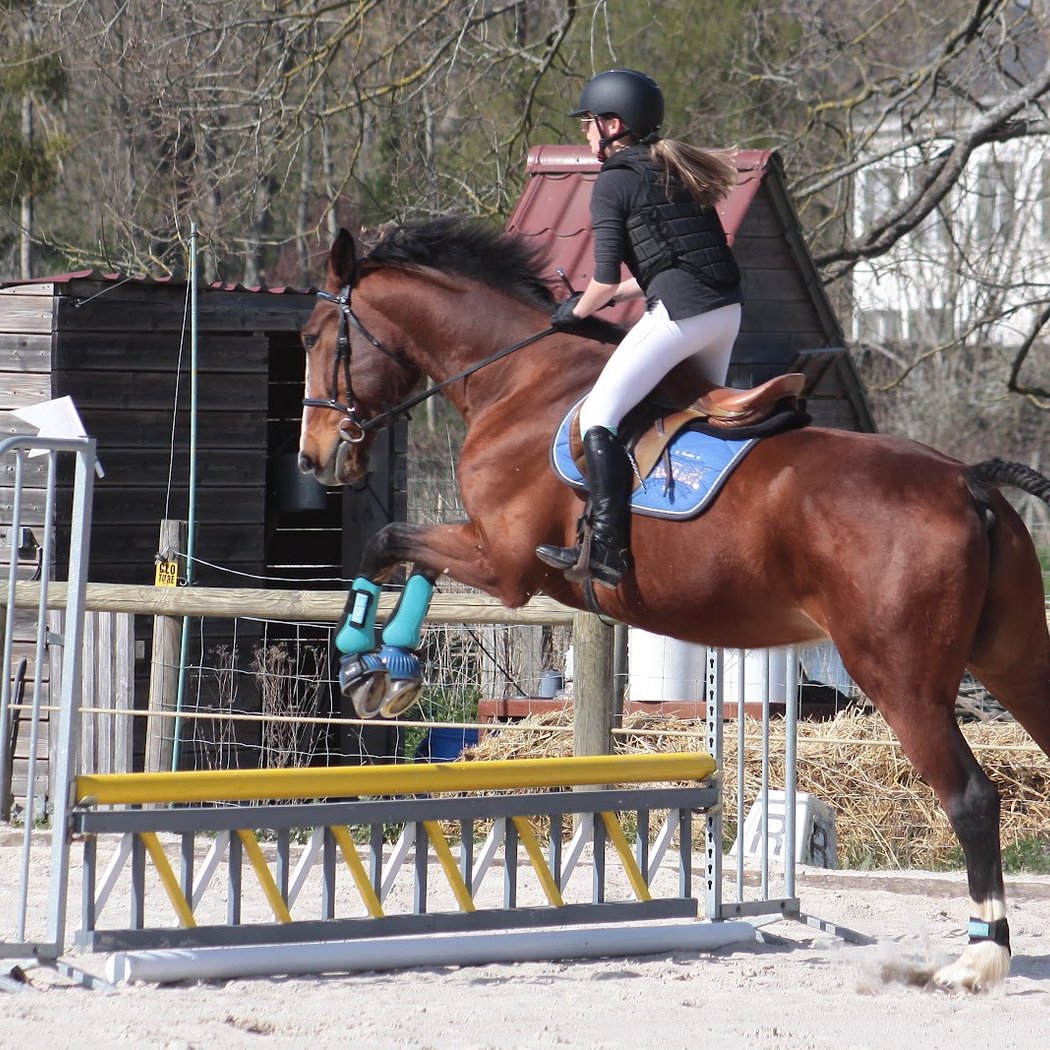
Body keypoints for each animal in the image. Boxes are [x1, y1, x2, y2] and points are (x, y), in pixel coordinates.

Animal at [297, 217, 1050, 993]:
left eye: (315, 337)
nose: (314, 457)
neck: (518, 381)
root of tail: (969, 481)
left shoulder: (502, 564)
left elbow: (386, 542)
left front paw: (360, 664)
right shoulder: (485, 553)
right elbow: (407, 556)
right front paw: (389, 671)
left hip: (903, 681)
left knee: (970, 798)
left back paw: (979, 955)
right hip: (1014, 660)